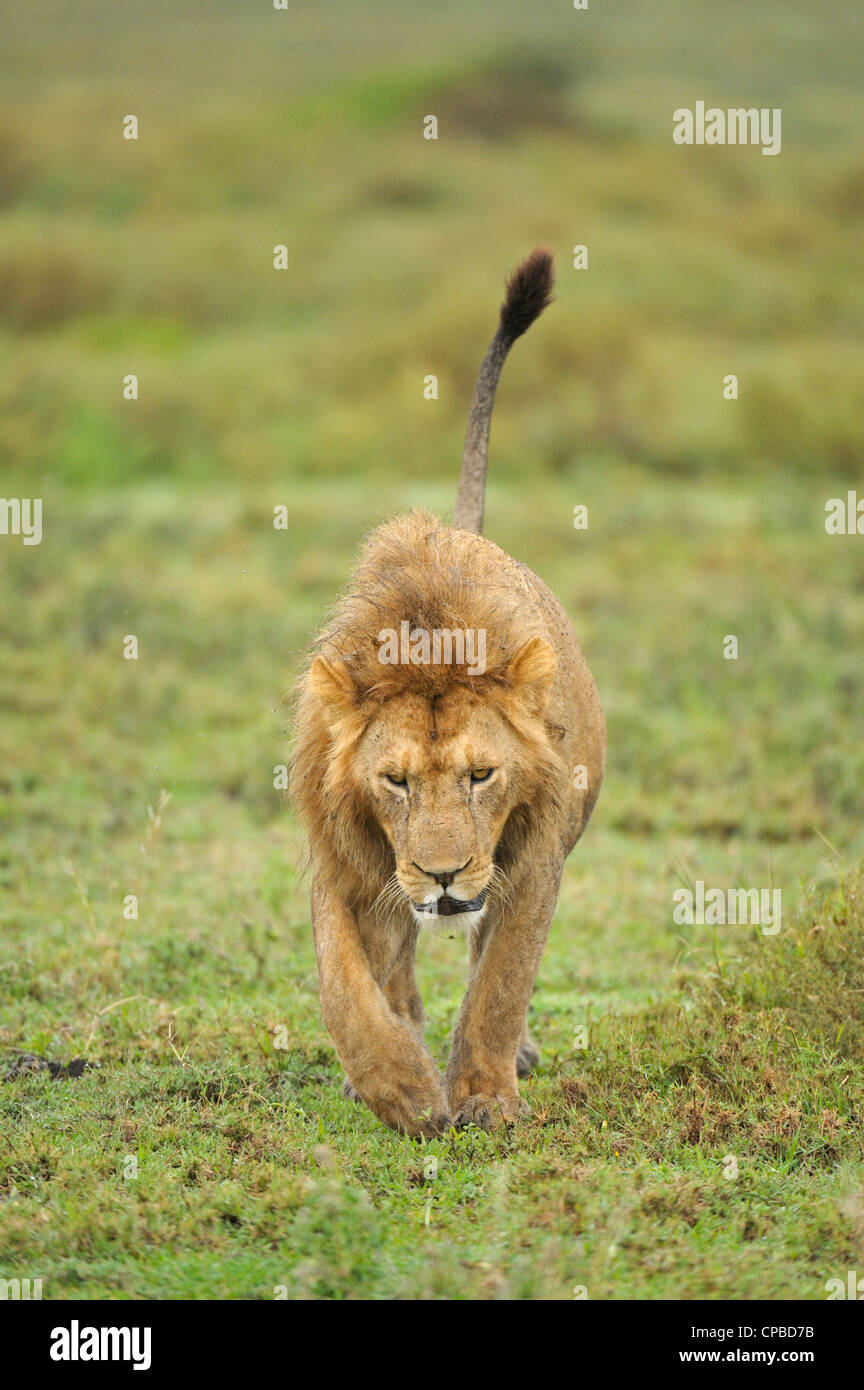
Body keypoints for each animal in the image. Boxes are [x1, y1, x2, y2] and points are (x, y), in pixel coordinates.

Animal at [294, 252, 605, 1139]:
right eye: (395, 781)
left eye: (482, 775)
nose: (441, 875)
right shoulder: (340, 852)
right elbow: (344, 983)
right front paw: (400, 1088)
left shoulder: (533, 859)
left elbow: (501, 981)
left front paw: (486, 1098)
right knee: (396, 959)